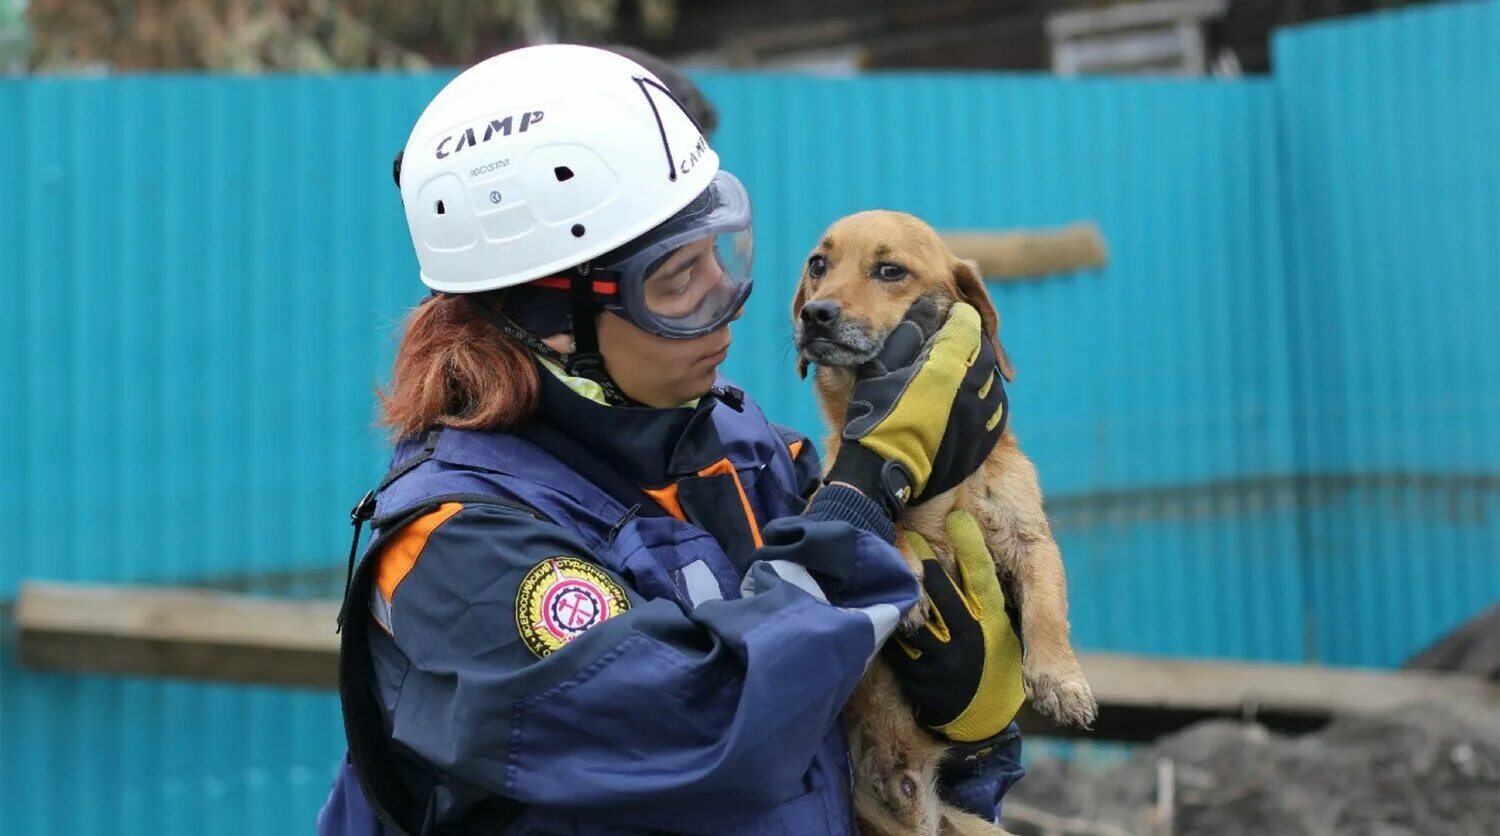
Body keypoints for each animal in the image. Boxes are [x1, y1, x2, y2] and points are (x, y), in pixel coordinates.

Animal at [792, 210, 1098, 834]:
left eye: (890, 270)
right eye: (818, 265)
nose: (816, 314)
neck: (939, 480)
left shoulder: (1030, 539)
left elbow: (1046, 609)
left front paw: (1061, 679)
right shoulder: (827, 497)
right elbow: (884, 521)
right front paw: (909, 575)